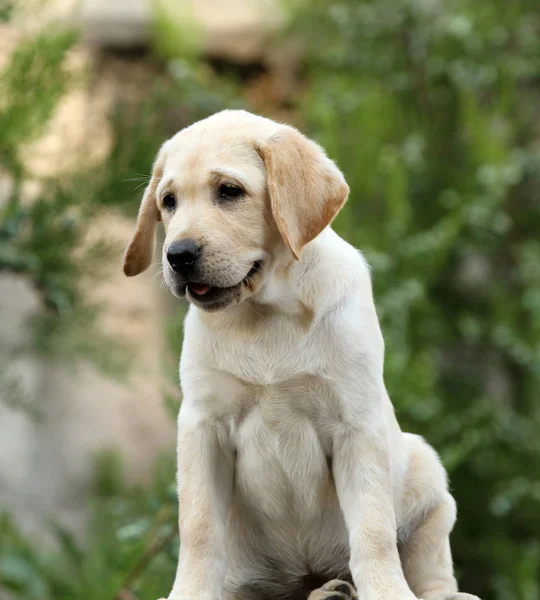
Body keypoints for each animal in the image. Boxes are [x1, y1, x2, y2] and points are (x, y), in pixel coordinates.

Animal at [123, 110, 480, 600]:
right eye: (168, 201)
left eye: (229, 191)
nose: (178, 255)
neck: (265, 314)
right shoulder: (202, 427)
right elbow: (198, 528)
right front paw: (188, 593)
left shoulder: (356, 424)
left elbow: (373, 530)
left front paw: (386, 591)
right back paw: (328, 590)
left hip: (425, 468)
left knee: (431, 568)